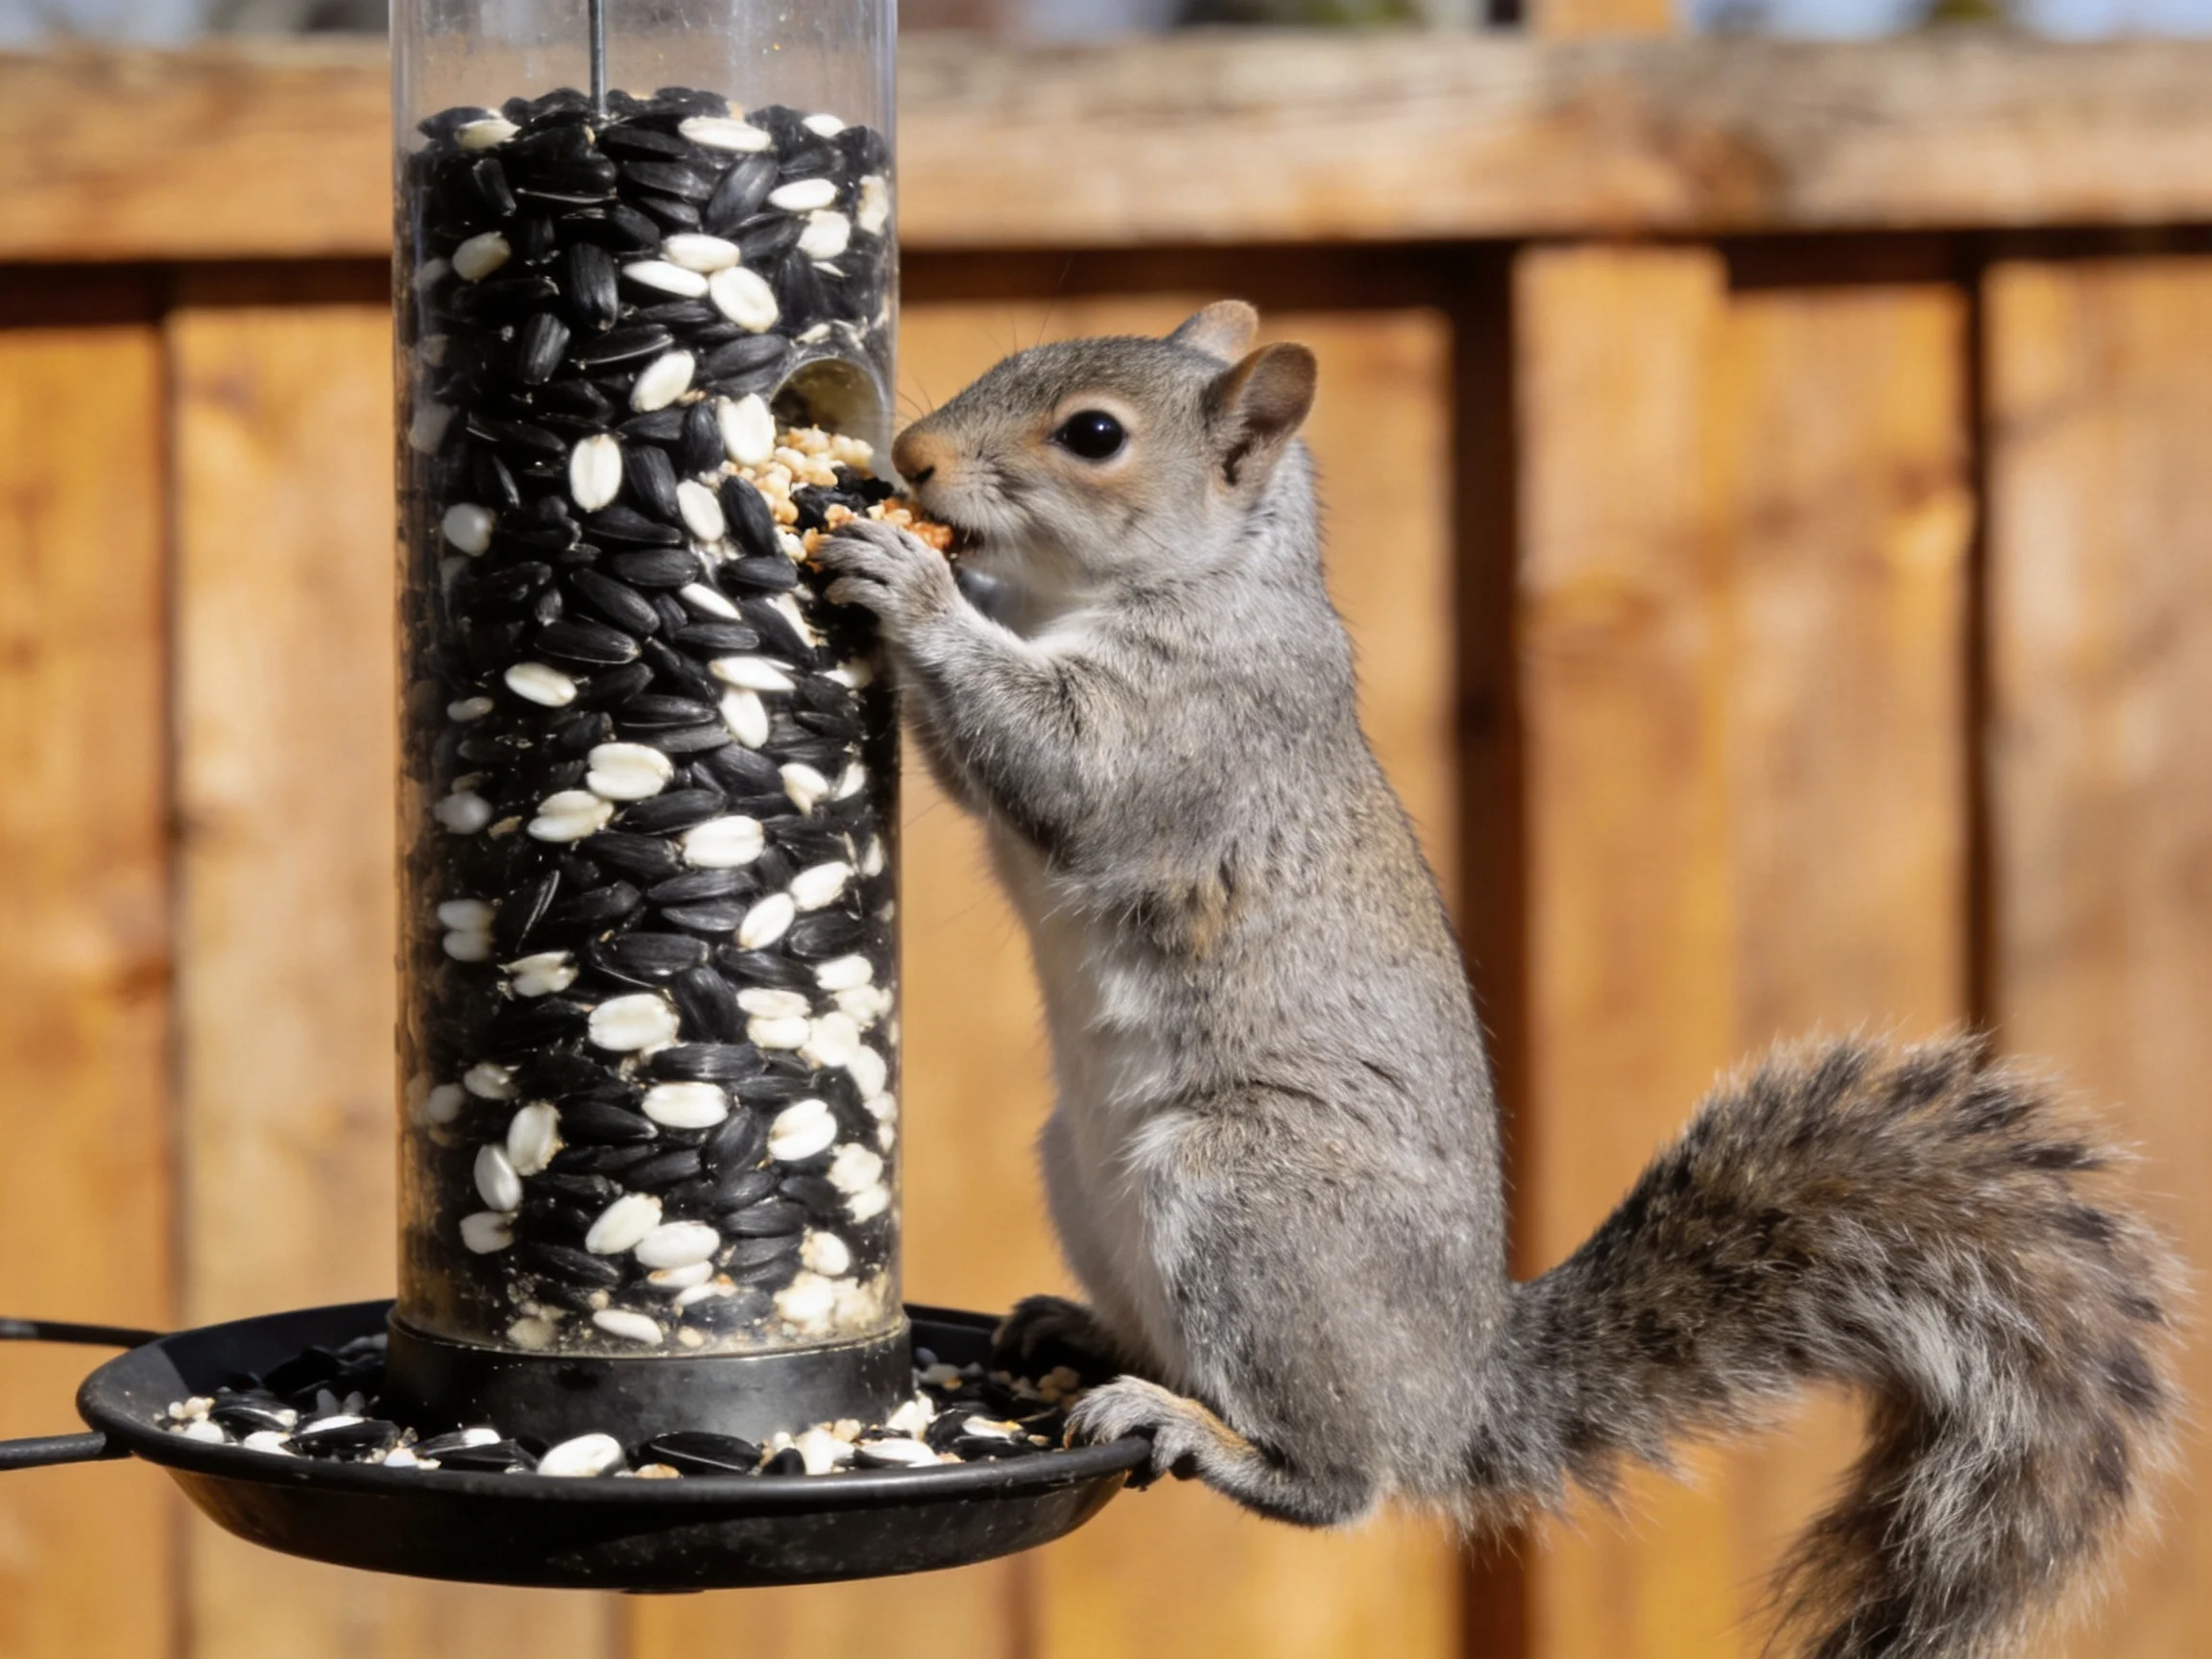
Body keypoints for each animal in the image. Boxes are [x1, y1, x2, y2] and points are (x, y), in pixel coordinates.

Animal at [817, 302, 2182, 1658]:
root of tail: (1456, 1388)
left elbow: (1059, 768)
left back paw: (1196, 1430)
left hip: (1249, 1200)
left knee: (1341, 1478)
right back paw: (1080, 1335)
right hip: (1087, 1169)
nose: (916, 459)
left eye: (1094, 435)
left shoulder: (1192, 732)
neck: (1185, 583)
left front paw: (914, 586)